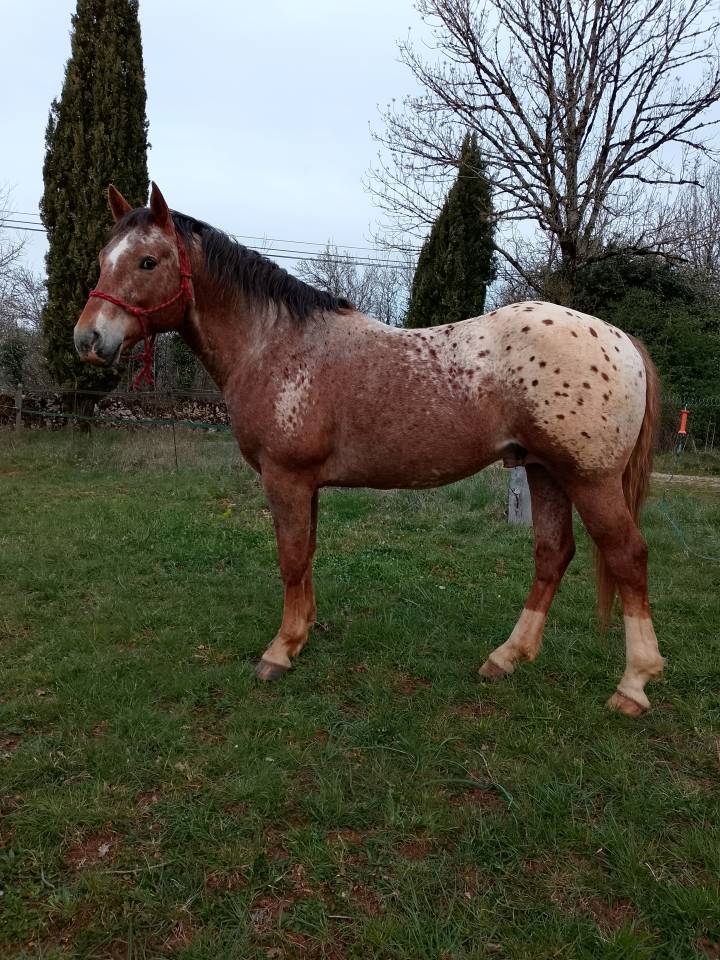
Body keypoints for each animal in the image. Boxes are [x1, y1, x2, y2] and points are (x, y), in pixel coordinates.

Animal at [74, 183, 664, 717]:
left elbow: (291, 557)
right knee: (551, 554)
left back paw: (632, 686)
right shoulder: (306, 482)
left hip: (589, 479)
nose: (87, 340)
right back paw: (506, 658)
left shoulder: (285, 477)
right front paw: (303, 634)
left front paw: (279, 652)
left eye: (148, 261)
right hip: (544, 471)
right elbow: (307, 554)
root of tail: (619, 338)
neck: (274, 344)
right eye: (103, 260)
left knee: (629, 558)